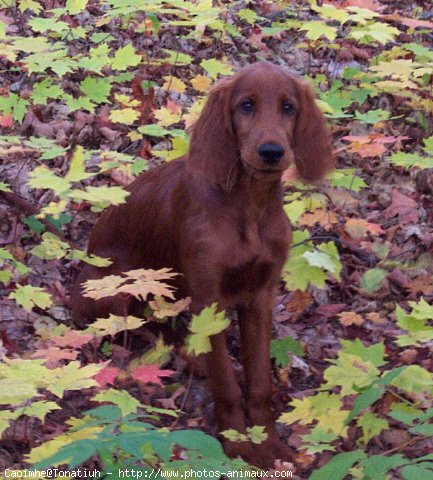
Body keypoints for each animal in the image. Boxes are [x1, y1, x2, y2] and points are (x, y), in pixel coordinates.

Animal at [70, 62, 334, 466]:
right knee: (142, 326)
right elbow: (225, 381)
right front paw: (237, 444)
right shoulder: (209, 298)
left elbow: (259, 381)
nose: (272, 151)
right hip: (115, 290)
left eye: (288, 107)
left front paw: (267, 442)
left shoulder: (260, 296)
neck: (249, 207)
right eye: (246, 105)